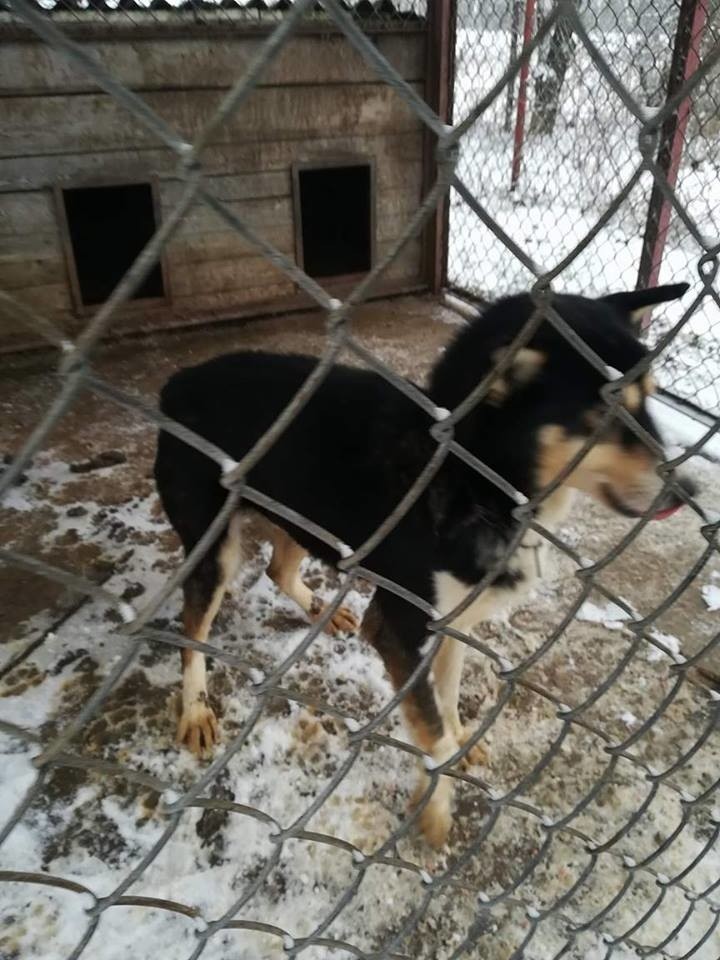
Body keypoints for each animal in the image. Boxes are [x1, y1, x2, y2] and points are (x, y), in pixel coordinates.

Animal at [156, 282, 692, 844]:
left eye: (651, 400)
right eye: (610, 415)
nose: (686, 493)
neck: (473, 482)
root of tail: (178, 381)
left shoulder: (454, 620)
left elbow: (447, 698)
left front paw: (459, 743)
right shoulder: (396, 625)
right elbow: (430, 730)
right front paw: (436, 807)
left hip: (302, 515)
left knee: (278, 568)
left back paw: (318, 608)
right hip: (215, 548)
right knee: (193, 625)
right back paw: (195, 708)